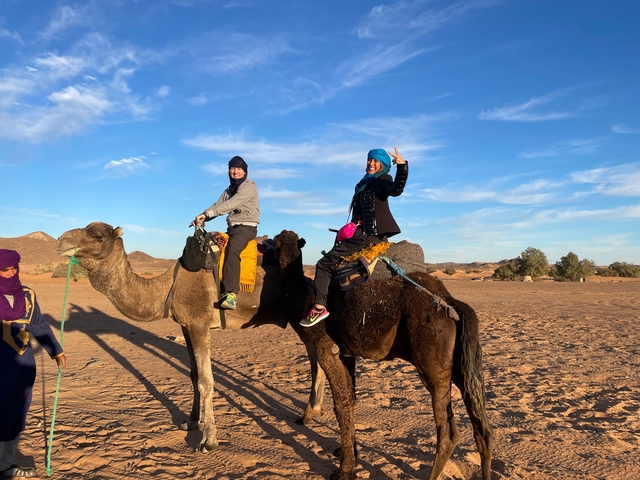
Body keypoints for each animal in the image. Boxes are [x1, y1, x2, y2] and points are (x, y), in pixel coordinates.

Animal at [55, 222, 328, 452]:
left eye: (98, 236)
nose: (60, 241)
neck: (167, 286)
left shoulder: (199, 323)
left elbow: (206, 381)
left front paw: (209, 440)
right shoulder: (186, 325)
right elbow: (194, 375)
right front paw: (191, 421)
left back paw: (310, 412)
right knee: (316, 358)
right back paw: (310, 412)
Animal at [272, 230, 494, 480]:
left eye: (276, 244)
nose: (270, 242)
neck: (300, 297)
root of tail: (451, 303)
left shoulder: (326, 347)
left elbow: (341, 404)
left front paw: (345, 470)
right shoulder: (347, 353)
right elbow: (351, 399)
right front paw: (347, 452)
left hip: (433, 366)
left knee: (448, 432)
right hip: (462, 365)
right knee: (482, 429)